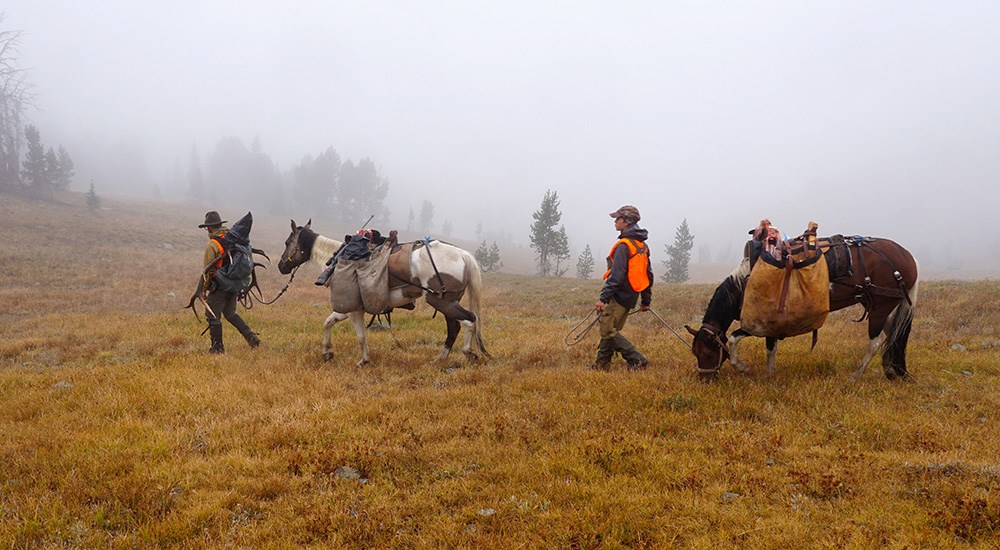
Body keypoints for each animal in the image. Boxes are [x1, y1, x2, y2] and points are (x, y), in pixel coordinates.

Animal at [278, 220, 488, 366]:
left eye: (288, 242)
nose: (281, 266)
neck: (337, 262)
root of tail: (463, 255)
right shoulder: (347, 309)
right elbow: (328, 322)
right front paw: (327, 352)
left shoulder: (353, 309)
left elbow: (361, 335)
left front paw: (363, 360)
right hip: (447, 303)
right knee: (455, 326)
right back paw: (440, 358)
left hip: (442, 302)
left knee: (468, 320)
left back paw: (467, 352)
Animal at [688, 236, 920, 384]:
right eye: (695, 352)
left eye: (707, 351)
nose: (704, 379)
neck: (747, 281)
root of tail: (908, 257)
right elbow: (770, 348)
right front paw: (770, 374)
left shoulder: (760, 322)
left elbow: (736, 339)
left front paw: (743, 367)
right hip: (877, 304)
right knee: (893, 335)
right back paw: (892, 370)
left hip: (880, 306)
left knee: (876, 342)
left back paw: (855, 377)